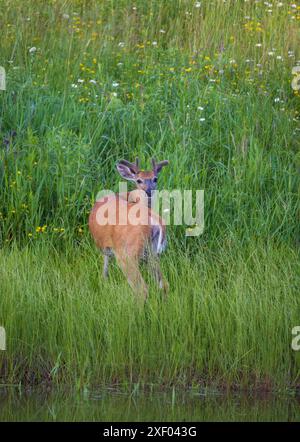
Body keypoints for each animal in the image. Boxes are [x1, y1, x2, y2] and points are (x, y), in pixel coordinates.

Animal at [88, 157, 169, 302]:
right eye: (139, 180)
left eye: (155, 178)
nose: (149, 191)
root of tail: (154, 221)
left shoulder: (108, 248)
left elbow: (104, 270)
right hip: (153, 254)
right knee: (164, 285)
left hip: (127, 254)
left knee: (142, 290)